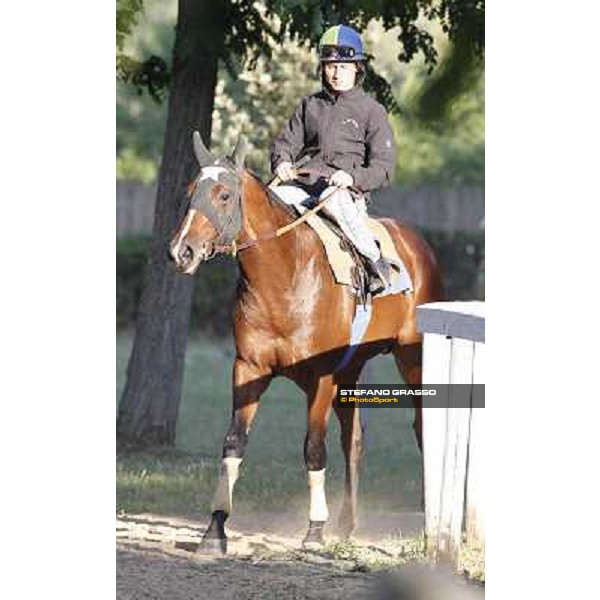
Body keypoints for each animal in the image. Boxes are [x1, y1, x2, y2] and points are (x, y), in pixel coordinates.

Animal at [169, 131, 440, 552]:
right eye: (189, 192)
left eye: (224, 195)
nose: (181, 250)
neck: (286, 275)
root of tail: (418, 245)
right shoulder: (249, 369)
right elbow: (233, 444)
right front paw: (215, 529)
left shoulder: (322, 377)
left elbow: (314, 447)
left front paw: (314, 530)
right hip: (352, 369)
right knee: (354, 440)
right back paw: (347, 523)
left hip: (412, 360)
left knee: (421, 426)